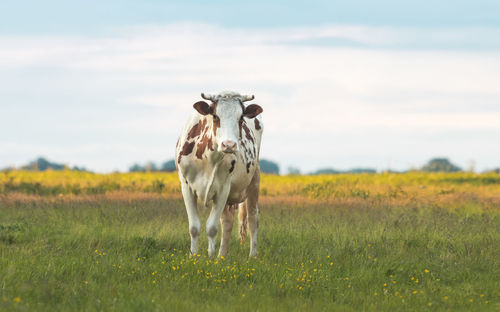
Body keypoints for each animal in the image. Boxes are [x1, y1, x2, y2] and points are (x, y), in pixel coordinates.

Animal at [175, 91, 264, 258]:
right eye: (215, 116)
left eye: (241, 118)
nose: (229, 145)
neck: (208, 159)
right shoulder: (186, 187)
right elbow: (194, 227)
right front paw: (193, 256)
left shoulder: (223, 189)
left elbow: (212, 227)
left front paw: (210, 257)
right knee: (228, 221)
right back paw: (222, 256)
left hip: (254, 179)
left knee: (252, 218)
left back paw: (252, 255)